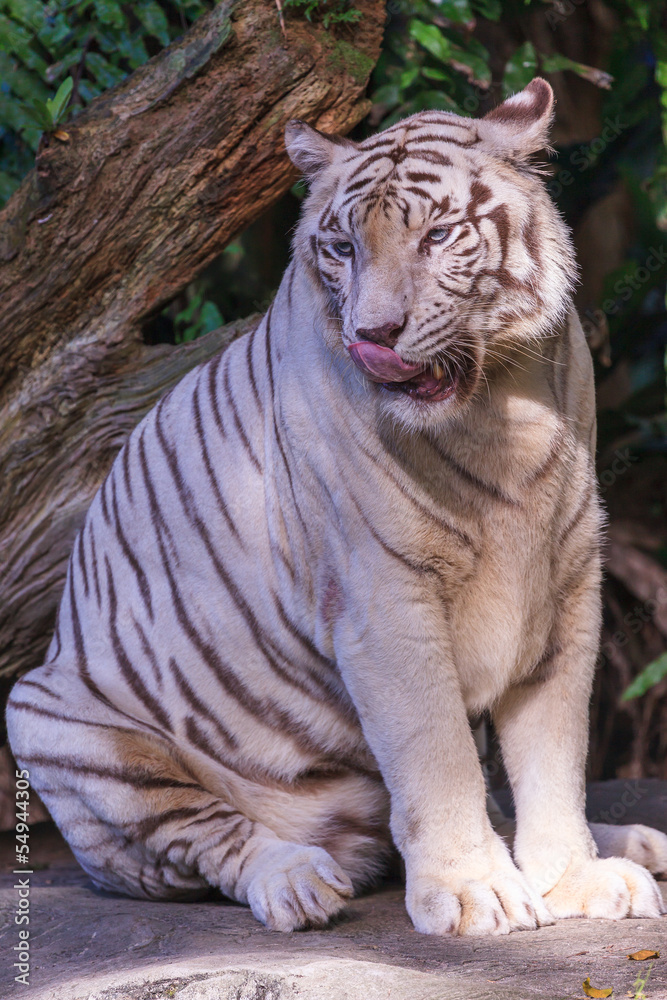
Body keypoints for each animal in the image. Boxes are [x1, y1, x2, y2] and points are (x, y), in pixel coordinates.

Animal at [6, 80, 667, 936]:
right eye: (343, 248)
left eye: (438, 236)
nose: (373, 334)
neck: (504, 404)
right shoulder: (382, 599)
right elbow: (438, 753)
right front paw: (473, 892)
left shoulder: (565, 589)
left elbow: (554, 754)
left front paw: (569, 876)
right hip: (48, 716)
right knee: (205, 840)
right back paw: (295, 881)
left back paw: (627, 841)